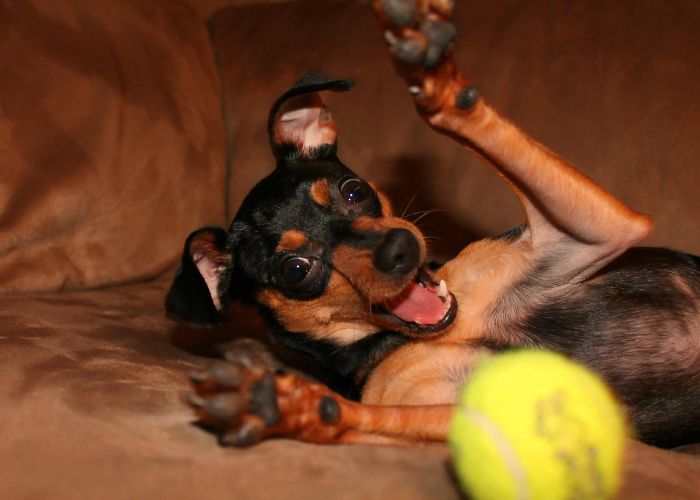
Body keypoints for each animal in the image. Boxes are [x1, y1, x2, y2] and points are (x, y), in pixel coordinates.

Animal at [165, 0, 700, 452]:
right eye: (296, 270)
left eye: (353, 192)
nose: (401, 248)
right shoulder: (451, 413)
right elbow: (364, 416)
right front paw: (283, 408)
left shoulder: (595, 231)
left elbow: (475, 127)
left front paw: (433, 75)